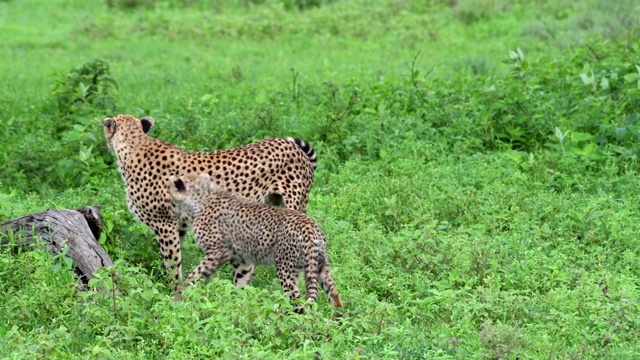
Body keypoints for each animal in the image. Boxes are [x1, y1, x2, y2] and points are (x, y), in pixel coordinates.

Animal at [102, 114, 318, 286]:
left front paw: (171, 292)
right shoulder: (178, 227)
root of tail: (289, 144)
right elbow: (177, 259)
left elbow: (172, 263)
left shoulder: (164, 224)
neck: (134, 143)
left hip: (293, 208)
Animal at [168, 173, 342, 310]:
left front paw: (177, 298)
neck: (202, 196)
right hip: (320, 265)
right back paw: (337, 321)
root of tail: (309, 224)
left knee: (298, 301)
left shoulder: (218, 252)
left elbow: (194, 276)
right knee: (334, 293)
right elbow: (240, 283)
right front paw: (238, 304)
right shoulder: (241, 259)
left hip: (286, 269)